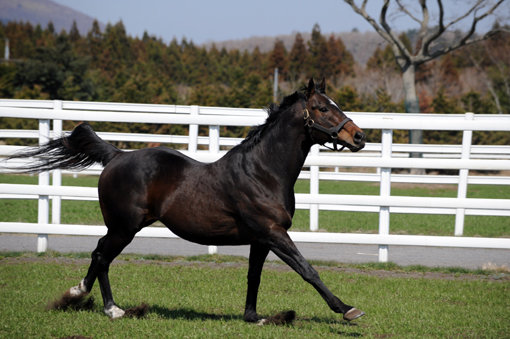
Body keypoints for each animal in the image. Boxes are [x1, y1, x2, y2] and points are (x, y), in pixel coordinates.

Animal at [8, 78, 366, 326]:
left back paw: (81, 295)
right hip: (124, 228)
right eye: (323, 108)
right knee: (102, 256)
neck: (262, 172)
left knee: (99, 254)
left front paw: (255, 317)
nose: (359, 137)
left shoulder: (261, 239)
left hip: (121, 227)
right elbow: (308, 270)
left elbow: (254, 277)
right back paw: (109, 308)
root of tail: (116, 156)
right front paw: (347, 309)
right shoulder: (274, 233)